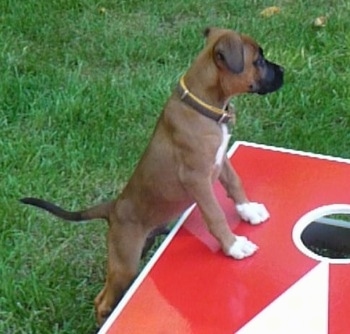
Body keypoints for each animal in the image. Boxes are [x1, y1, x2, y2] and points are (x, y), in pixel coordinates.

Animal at [19, 27, 284, 324]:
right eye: (258, 61)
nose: (283, 71)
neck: (203, 106)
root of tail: (113, 208)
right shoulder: (197, 179)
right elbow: (215, 215)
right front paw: (234, 245)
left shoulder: (220, 159)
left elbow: (235, 183)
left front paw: (248, 211)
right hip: (126, 261)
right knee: (102, 300)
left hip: (131, 255)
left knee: (102, 294)